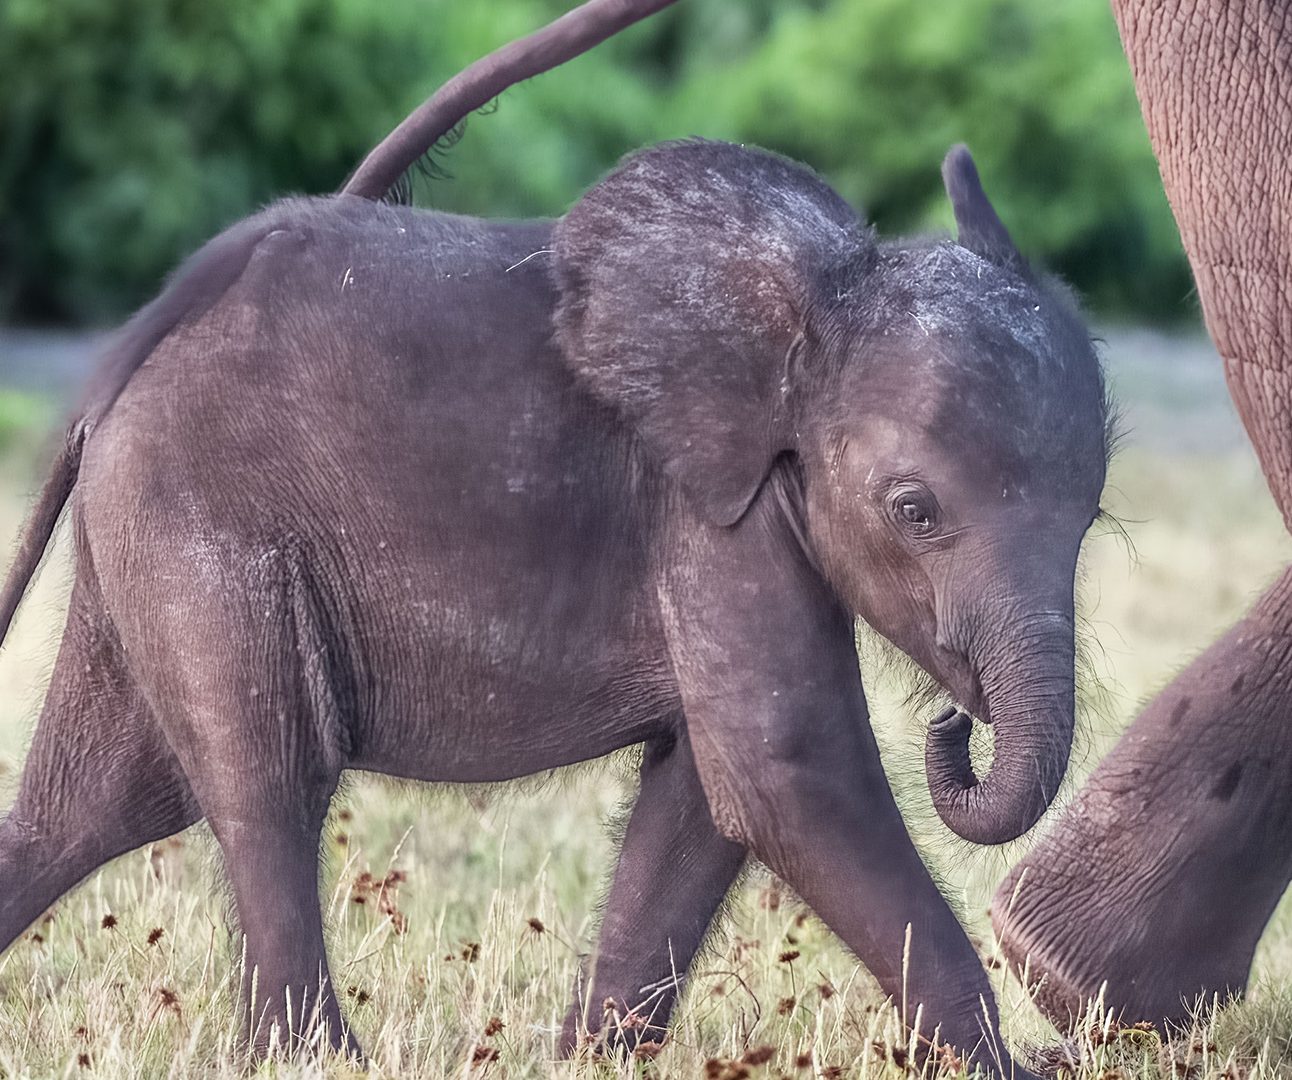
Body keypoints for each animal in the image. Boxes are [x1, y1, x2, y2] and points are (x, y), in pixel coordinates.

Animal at [0, 16, 1105, 1080]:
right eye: (914, 511)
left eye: (1088, 522)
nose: (954, 725)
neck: (811, 308)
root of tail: (116, 365)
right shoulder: (707, 512)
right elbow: (791, 774)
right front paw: (1015, 1074)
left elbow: (705, 801)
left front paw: (588, 1060)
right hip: (204, 527)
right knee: (267, 779)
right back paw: (313, 1060)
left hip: (149, 531)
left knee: (97, 803)